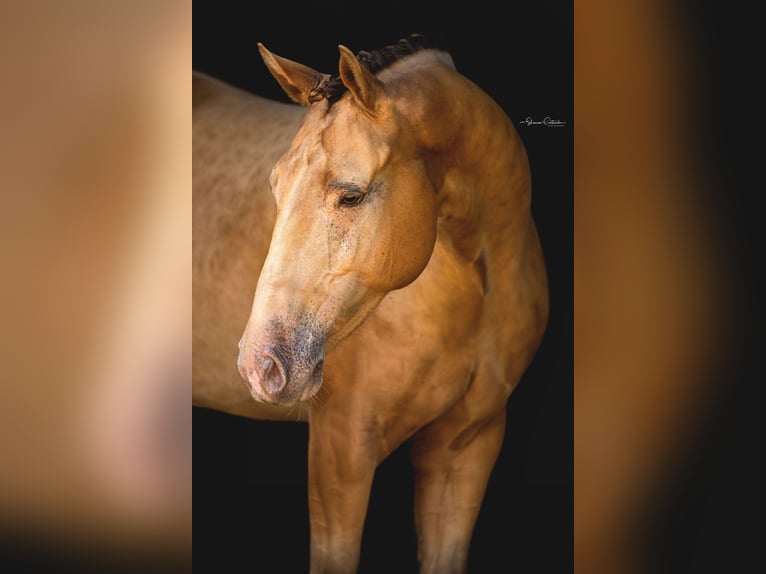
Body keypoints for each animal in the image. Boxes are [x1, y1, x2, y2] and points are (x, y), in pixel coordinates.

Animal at [195, 35, 548, 574]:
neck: (479, 291)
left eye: (352, 196)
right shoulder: (340, 453)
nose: (261, 367)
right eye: (276, 186)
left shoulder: (466, 447)